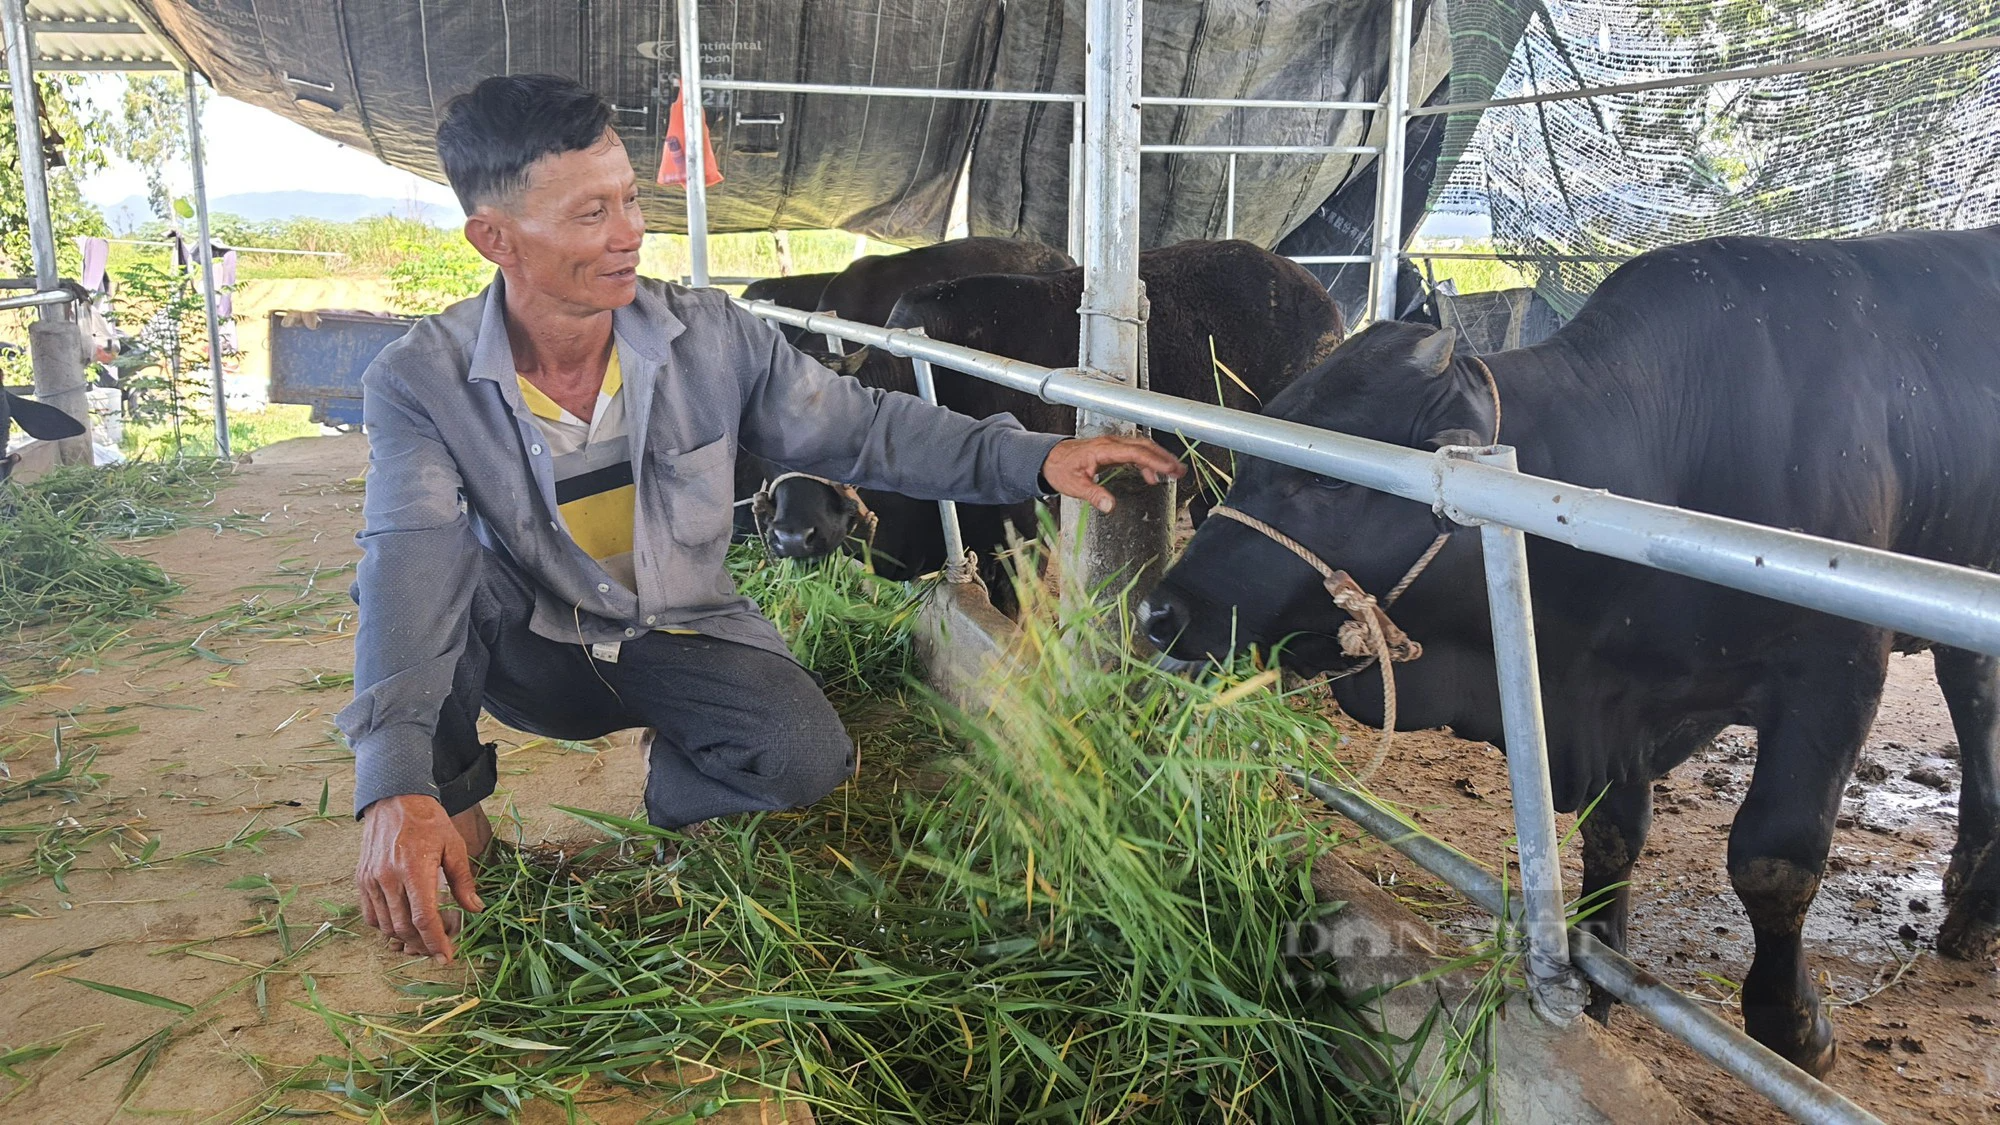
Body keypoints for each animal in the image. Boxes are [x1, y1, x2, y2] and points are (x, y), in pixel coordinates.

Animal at [1136, 225, 2000, 1064]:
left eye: (1330, 479)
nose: (1160, 609)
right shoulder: (1612, 704)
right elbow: (1613, 831)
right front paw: (1596, 970)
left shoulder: (1835, 670)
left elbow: (1774, 858)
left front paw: (1794, 1027)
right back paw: (1972, 900)